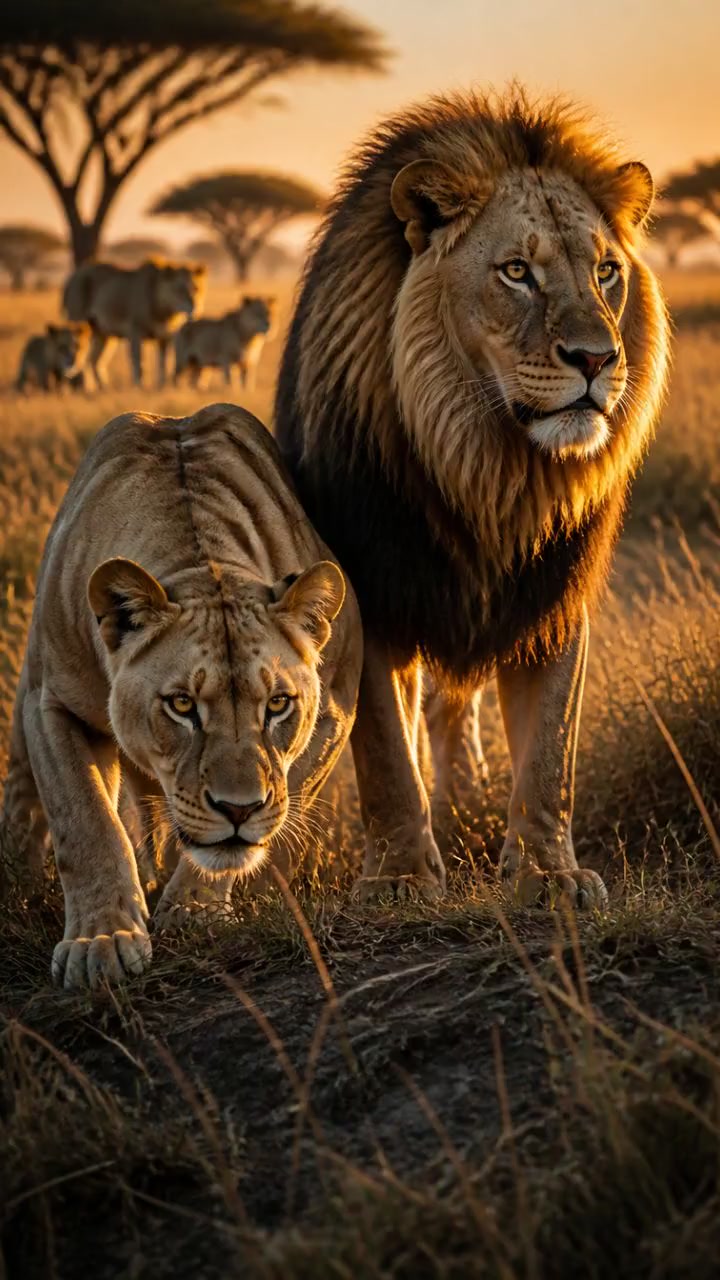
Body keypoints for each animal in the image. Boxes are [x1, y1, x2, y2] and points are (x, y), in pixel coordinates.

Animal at [1, 404, 362, 989]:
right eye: (182, 705)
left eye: (277, 705)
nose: (239, 809)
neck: (200, 558)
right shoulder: (50, 702)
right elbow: (86, 822)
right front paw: (101, 941)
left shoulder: (336, 704)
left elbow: (265, 815)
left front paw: (193, 910)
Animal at [63, 258, 207, 390]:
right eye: (179, 290)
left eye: (196, 288)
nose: (194, 308)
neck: (166, 312)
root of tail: (73, 276)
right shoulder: (135, 332)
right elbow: (139, 362)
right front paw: (140, 387)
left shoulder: (165, 337)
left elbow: (163, 363)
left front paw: (162, 386)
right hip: (78, 324)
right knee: (80, 356)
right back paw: (84, 388)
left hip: (103, 333)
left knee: (94, 360)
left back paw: (103, 388)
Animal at [275, 87, 670, 908]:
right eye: (516, 271)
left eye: (607, 272)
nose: (597, 359)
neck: (490, 467)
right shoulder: (374, 588)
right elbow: (386, 752)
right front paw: (399, 878)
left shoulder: (554, 595)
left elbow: (549, 754)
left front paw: (549, 876)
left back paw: (464, 800)